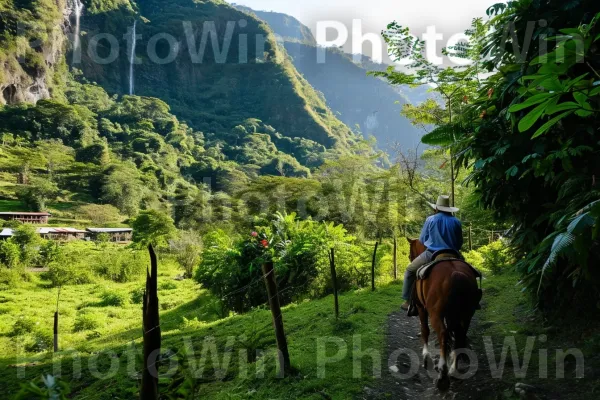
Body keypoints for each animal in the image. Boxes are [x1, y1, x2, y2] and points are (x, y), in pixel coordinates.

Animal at [406, 238, 480, 390]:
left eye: (411, 249)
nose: (410, 257)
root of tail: (456, 273)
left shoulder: (421, 308)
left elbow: (425, 330)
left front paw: (426, 357)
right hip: (467, 315)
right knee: (460, 336)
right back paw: (452, 370)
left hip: (435, 315)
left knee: (443, 334)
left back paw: (443, 375)